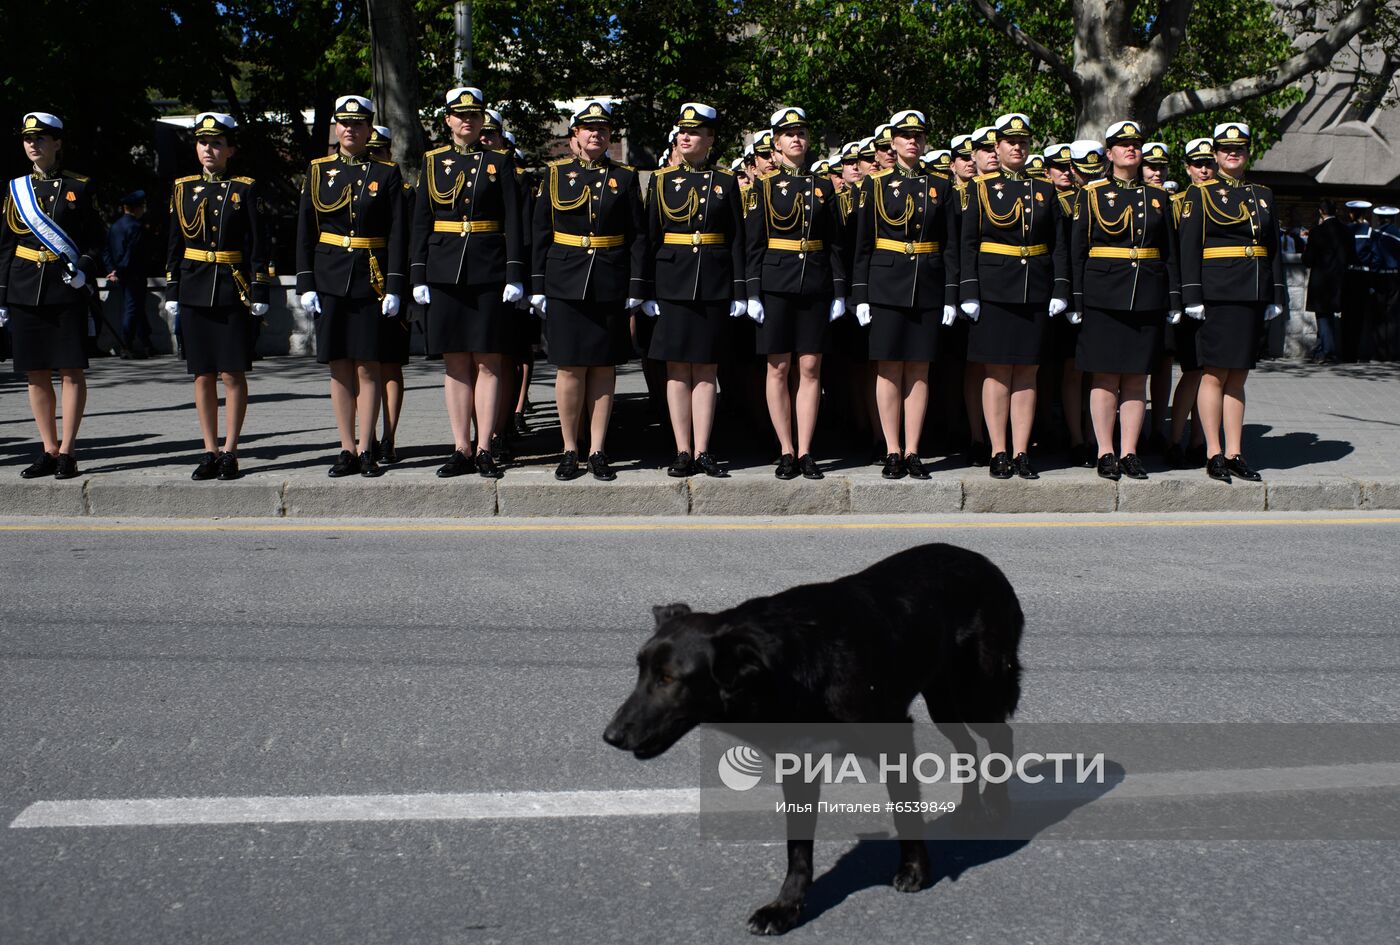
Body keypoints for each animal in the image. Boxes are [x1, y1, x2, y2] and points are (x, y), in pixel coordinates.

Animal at [596, 543, 1024, 935]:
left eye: (668, 679)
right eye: (640, 671)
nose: (611, 736)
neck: (787, 672)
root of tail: (982, 560)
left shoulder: (893, 738)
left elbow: (906, 811)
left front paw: (916, 871)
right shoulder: (797, 764)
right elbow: (798, 850)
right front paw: (787, 907)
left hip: (975, 693)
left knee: (1000, 738)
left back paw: (998, 807)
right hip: (944, 699)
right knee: (967, 746)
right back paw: (971, 809)